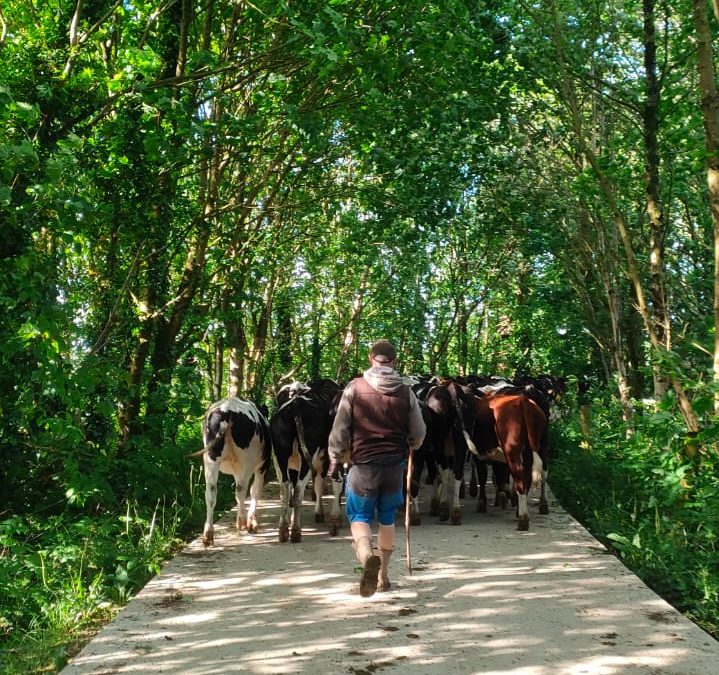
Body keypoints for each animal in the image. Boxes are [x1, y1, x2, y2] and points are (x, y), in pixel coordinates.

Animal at [198, 398, 272, 548]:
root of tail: (224, 412)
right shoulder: (263, 466)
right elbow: (255, 491)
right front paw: (252, 522)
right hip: (246, 461)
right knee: (242, 490)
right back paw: (242, 522)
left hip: (210, 460)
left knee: (211, 493)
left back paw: (208, 535)